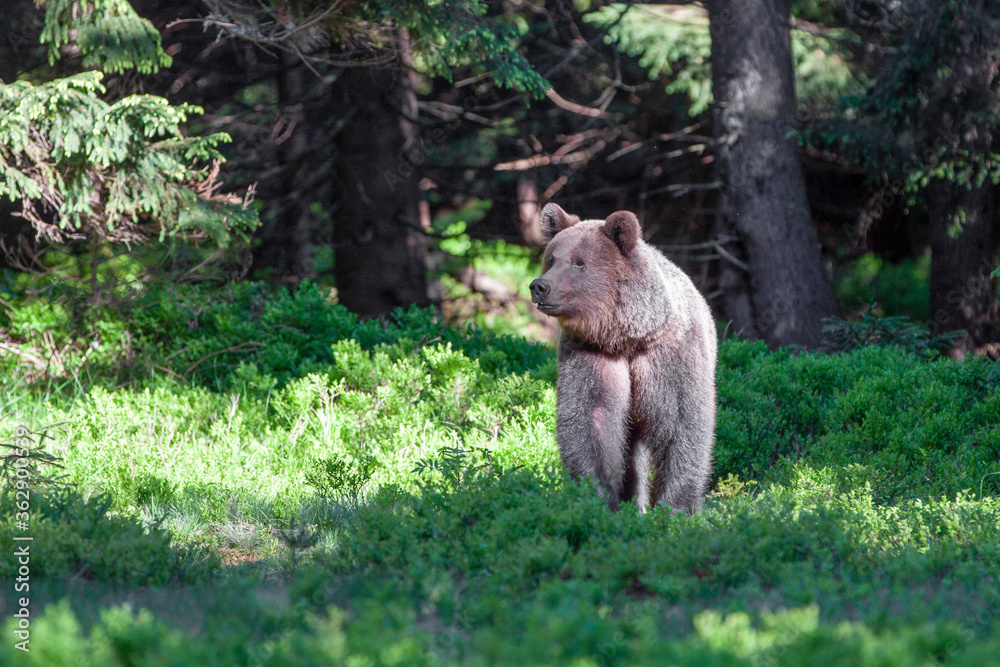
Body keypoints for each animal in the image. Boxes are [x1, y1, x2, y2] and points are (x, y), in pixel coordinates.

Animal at [529, 203, 716, 514]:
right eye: (552, 258)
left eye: (579, 262)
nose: (540, 286)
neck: (626, 337)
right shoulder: (591, 355)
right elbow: (591, 419)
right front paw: (600, 497)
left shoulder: (670, 356)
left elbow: (682, 423)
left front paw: (675, 507)